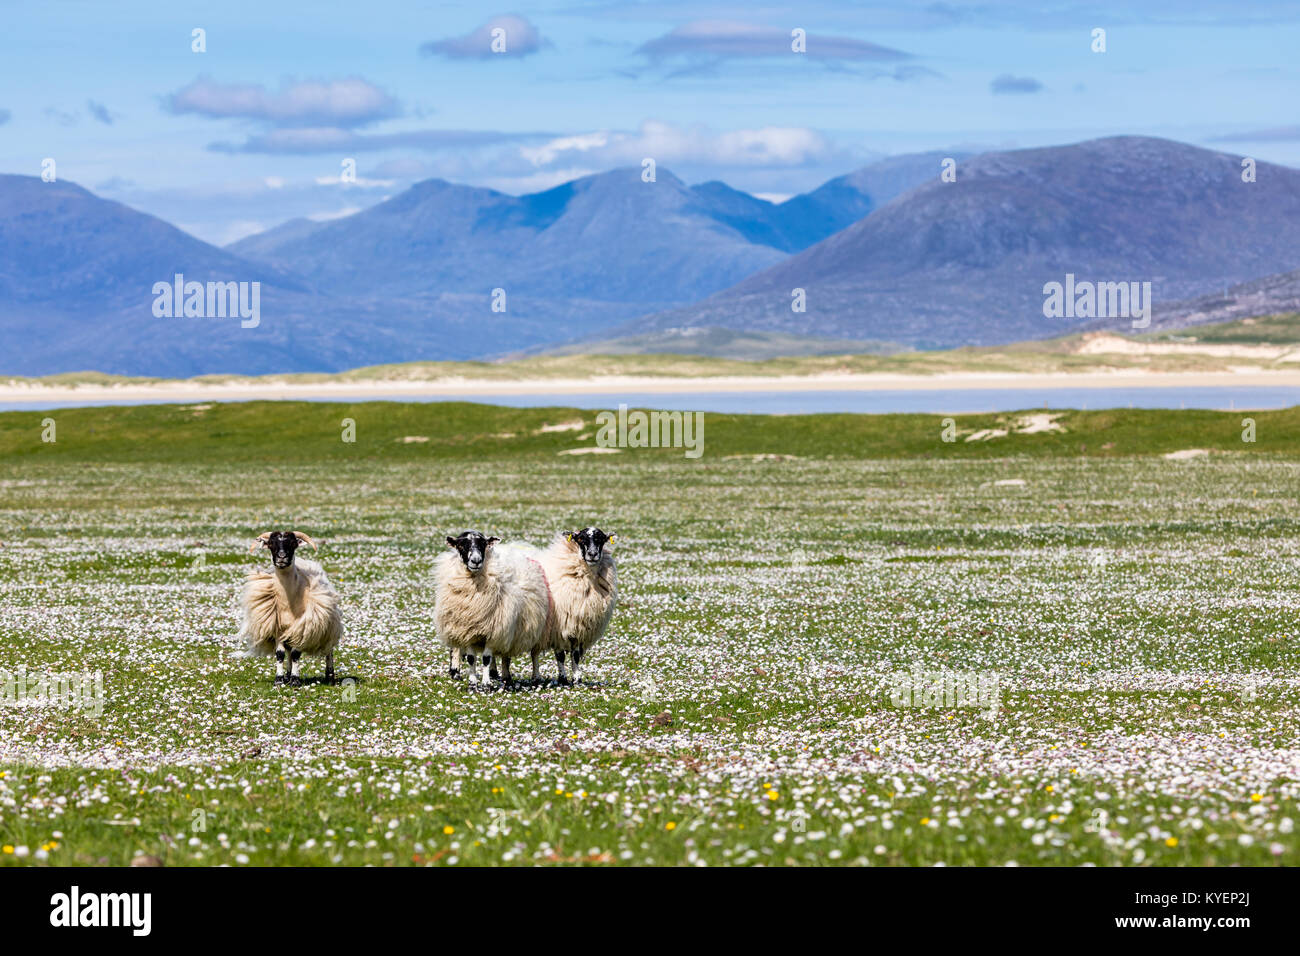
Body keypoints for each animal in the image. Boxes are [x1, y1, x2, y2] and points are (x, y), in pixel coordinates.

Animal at [237, 530, 343, 686]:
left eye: (292, 543)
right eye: (271, 544)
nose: (282, 557)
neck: (288, 603)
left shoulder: (302, 627)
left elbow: (296, 654)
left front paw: (295, 680)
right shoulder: (278, 629)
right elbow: (280, 654)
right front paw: (280, 679)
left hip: (329, 627)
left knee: (329, 650)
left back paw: (329, 676)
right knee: (287, 651)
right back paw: (287, 674)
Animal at [436, 530, 553, 686]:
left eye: (483, 544)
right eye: (461, 545)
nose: (476, 561)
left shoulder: (494, 631)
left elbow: (486, 658)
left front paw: (486, 683)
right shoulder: (467, 630)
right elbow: (471, 658)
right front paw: (472, 682)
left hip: (529, 629)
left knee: (531, 653)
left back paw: (532, 677)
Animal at [538, 528, 618, 686]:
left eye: (601, 539)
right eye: (580, 539)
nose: (592, 554)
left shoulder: (577, 625)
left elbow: (575, 655)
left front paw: (577, 679)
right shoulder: (558, 627)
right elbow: (560, 655)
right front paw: (562, 679)